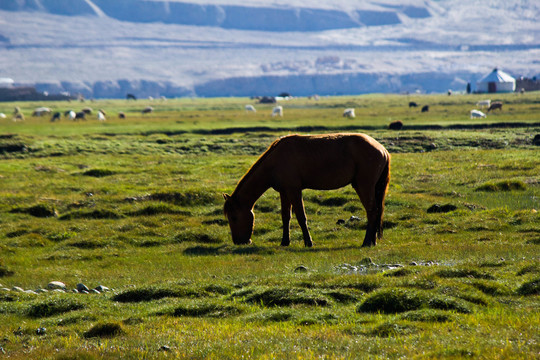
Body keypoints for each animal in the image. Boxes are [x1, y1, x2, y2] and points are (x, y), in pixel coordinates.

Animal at [221, 132, 390, 248]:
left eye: (234, 217)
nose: (238, 242)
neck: (275, 161)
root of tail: (382, 149)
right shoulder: (284, 192)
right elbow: (285, 216)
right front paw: (285, 241)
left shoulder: (294, 190)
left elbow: (301, 217)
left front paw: (308, 242)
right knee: (376, 211)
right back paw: (373, 240)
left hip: (364, 185)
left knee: (372, 211)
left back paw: (367, 241)